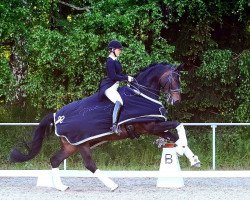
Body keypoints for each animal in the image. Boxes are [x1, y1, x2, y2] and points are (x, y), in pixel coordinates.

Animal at [9, 62, 200, 191]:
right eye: (173, 78)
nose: (176, 101)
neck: (142, 95)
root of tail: (57, 116)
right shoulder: (150, 126)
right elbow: (179, 125)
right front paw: (181, 149)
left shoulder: (156, 126)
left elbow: (174, 136)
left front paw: (192, 158)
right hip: (82, 144)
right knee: (89, 164)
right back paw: (112, 185)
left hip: (71, 146)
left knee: (54, 159)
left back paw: (62, 187)